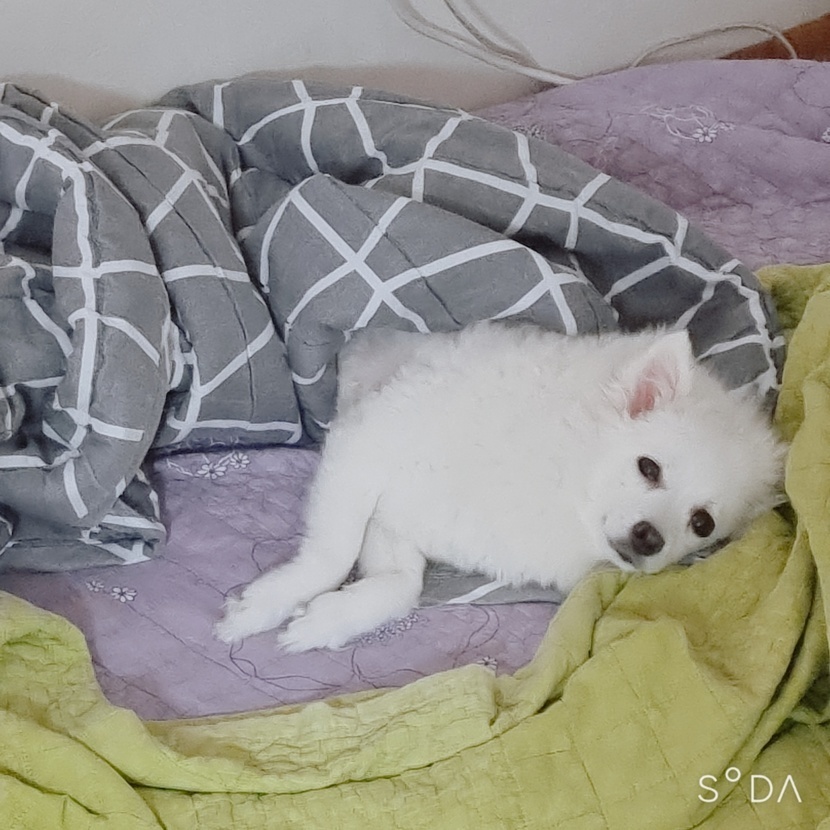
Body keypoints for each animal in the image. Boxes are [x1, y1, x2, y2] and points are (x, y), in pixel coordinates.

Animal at [215, 323, 785, 652]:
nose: (651, 538)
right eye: (649, 468)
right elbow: (331, 556)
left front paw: (326, 622)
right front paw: (262, 608)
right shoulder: (362, 449)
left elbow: (402, 586)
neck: (562, 478)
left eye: (702, 524)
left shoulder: (395, 521)